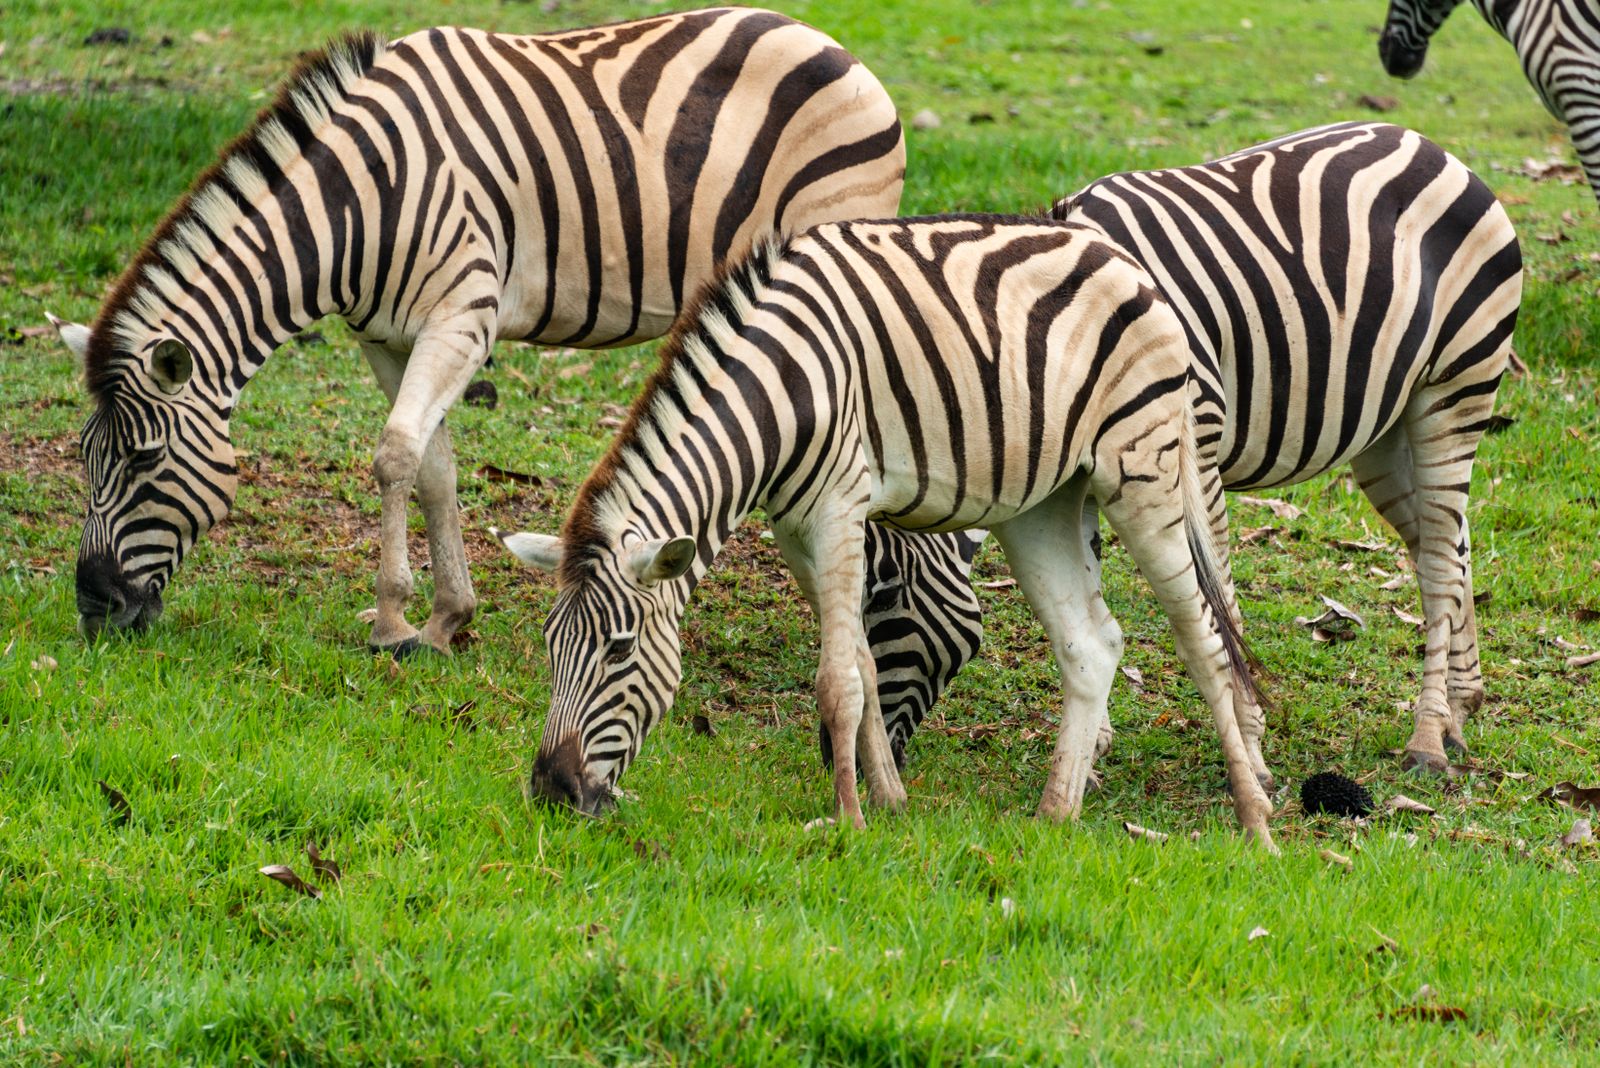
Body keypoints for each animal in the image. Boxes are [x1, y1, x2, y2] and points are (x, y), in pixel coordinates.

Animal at [47, 9, 906, 655]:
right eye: (86, 456)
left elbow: (394, 456)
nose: (93, 609)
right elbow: (433, 468)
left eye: (144, 458)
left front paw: (392, 618)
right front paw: (444, 621)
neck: (357, 204)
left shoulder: (464, 313)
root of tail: (837, 48)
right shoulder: (386, 337)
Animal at [497, 216, 1276, 845]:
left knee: (1204, 640)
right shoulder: (795, 527)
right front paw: (890, 799)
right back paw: (1056, 816)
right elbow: (866, 664)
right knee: (1092, 643)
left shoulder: (839, 507)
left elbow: (837, 677)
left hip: (1143, 469)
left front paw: (847, 819)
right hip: (1043, 504)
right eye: (550, 647)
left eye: (620, 650)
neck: (779, 395)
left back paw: (1256, 823)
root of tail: (1127, 261)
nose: (552, 791)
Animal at [847, 122, 1522, 779]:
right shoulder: (1081, 468)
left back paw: (1429, 738)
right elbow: (1086, 592)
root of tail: (1435, 146)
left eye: (882, 601)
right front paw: (1092, 743)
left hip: (1456, 387)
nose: (847, 760)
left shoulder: (1193, 444)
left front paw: (1249, 746)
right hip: (1385, 432)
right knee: (1447, 545)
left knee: (1440, 558)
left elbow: (1215, 597)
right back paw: (1462, 705)